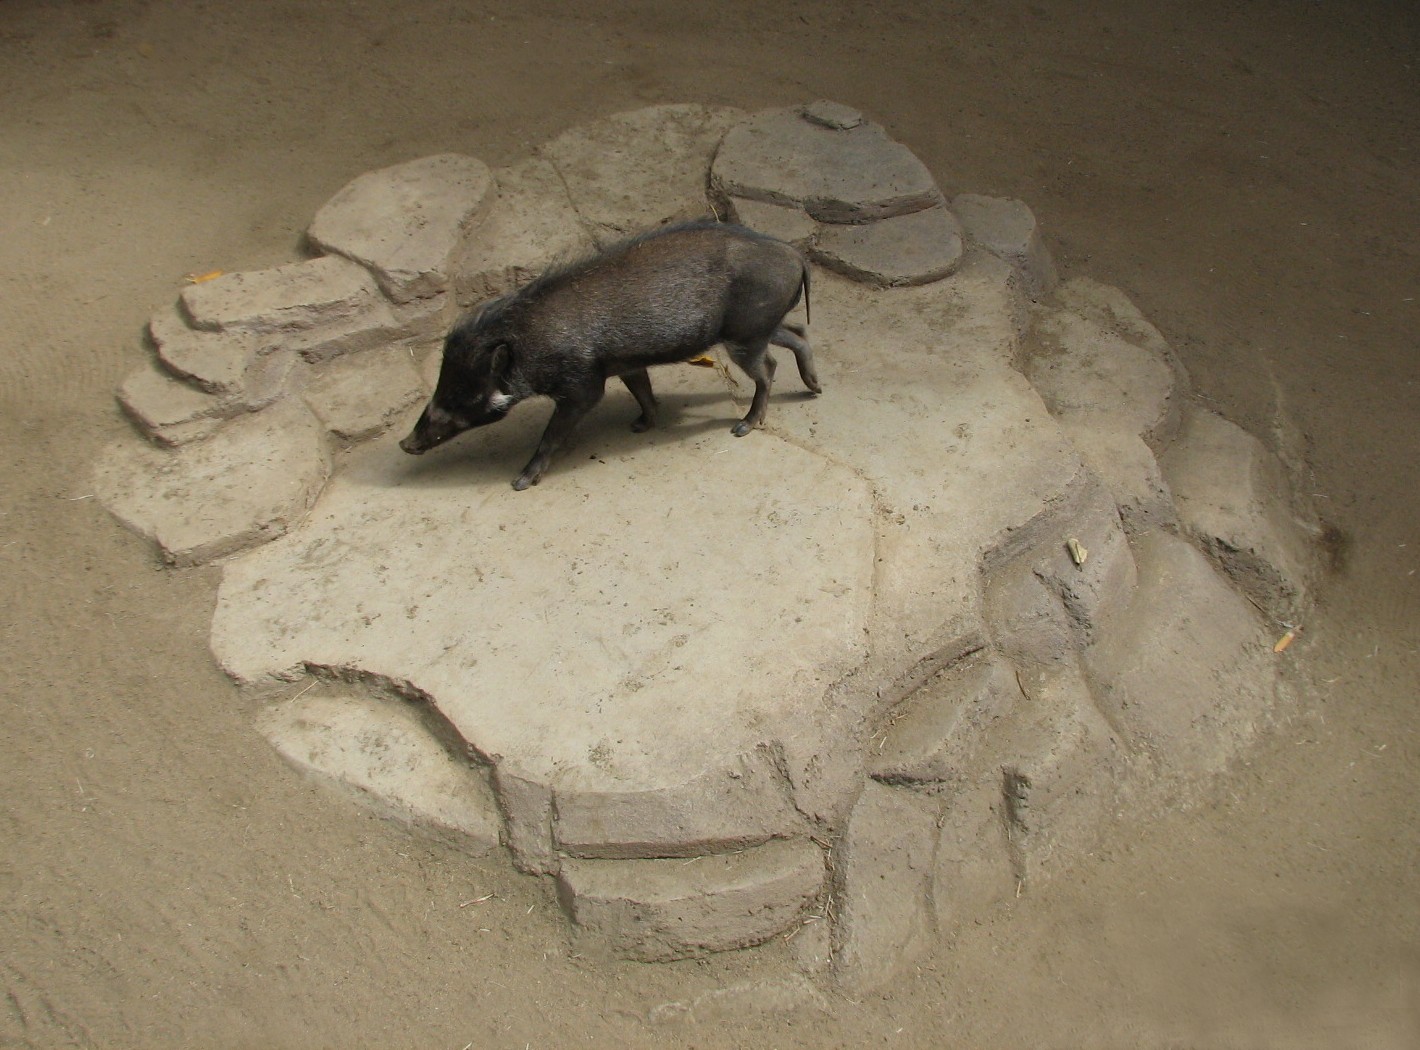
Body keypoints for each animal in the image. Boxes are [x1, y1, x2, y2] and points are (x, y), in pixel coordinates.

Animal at [399, 220, 820, 490]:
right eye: (441, 384)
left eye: (466, 395)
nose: (405, 444)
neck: (529, 343)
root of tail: (795, 256)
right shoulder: (625, 364)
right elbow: (643, 392)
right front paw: (640, 426)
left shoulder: (582, 387)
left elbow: (552, 434)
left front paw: (520, 482)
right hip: (760, 328)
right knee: (799, 335)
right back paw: (814, 388)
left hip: (745, 335)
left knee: (768, 368)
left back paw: (744, 426)